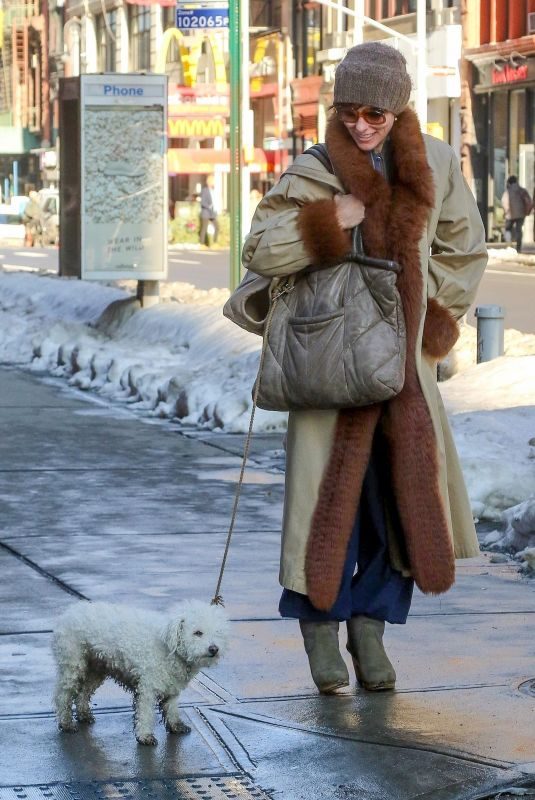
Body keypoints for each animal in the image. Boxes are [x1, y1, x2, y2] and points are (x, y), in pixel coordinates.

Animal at [54, 600, 228, 744]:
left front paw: (176, 726)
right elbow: (145, 712)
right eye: (197, 632)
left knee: (83, 693)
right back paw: (66, 723)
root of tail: (69, 613)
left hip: (97, 669)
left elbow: (172, 709)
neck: (169, 647)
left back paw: (84, 715)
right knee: (63, 696)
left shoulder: (172, 686)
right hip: (73, 665)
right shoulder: (147, 688)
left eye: (218, 632)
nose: (214, 649)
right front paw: (145, 736)